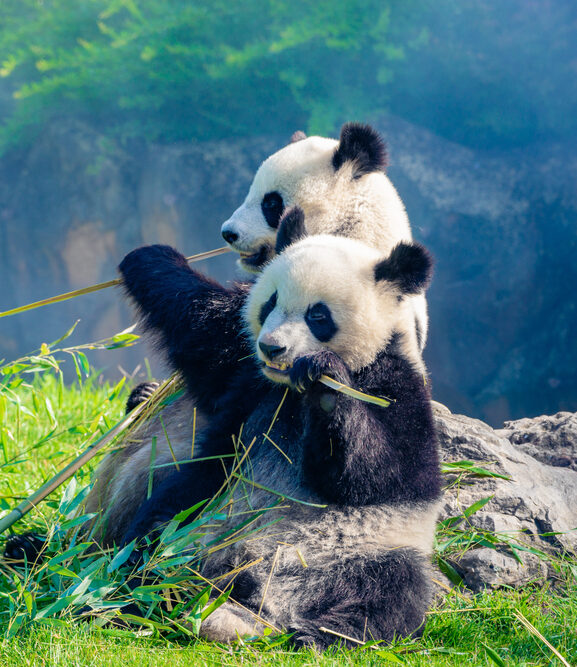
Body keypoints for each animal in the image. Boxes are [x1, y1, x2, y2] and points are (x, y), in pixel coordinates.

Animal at [110, 212, 441, 648]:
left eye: (318, 315)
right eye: (270, 303)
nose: (272, 348)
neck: (289, 391)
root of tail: (260, 599)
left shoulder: (396, 384)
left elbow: (381, 474)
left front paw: (325, 383)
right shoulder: (249, 383)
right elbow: (205, 334)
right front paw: (150, 257)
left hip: (368, 550)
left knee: (393, 591)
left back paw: (317, 634)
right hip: (202, 515)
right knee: (157, 529)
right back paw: (138, 592)